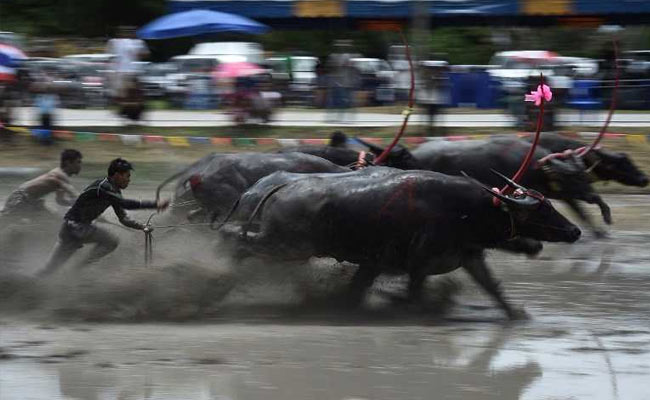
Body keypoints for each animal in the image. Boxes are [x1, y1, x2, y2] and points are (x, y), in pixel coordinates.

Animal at [219, 167, 581, 319]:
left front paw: (516, 314)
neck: (465, 210)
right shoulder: (418, 263)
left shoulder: (468, 257)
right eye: (542, 209)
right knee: (235, 241)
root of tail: (278, 188)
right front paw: (407, 307)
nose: (574, 231)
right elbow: (413, 292)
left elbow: (492, 287)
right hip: (287, 246)